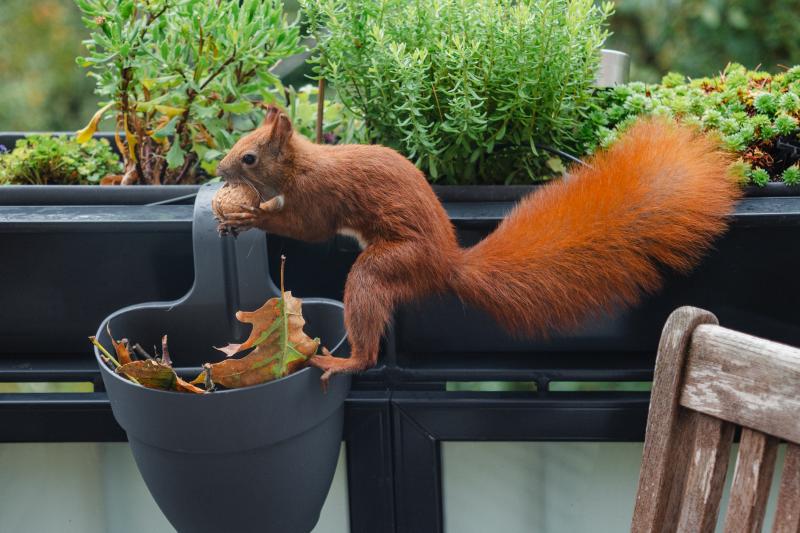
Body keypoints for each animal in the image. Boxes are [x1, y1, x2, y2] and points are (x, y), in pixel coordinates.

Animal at [216, 104, 740, 380]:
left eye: (248, 157)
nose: (218, 170)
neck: (301, 165)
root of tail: (446, 264)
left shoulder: (318, 198)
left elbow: (306, 229)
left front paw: (247, 214)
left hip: (387, 266)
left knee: (367, 331)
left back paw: (345, 361)